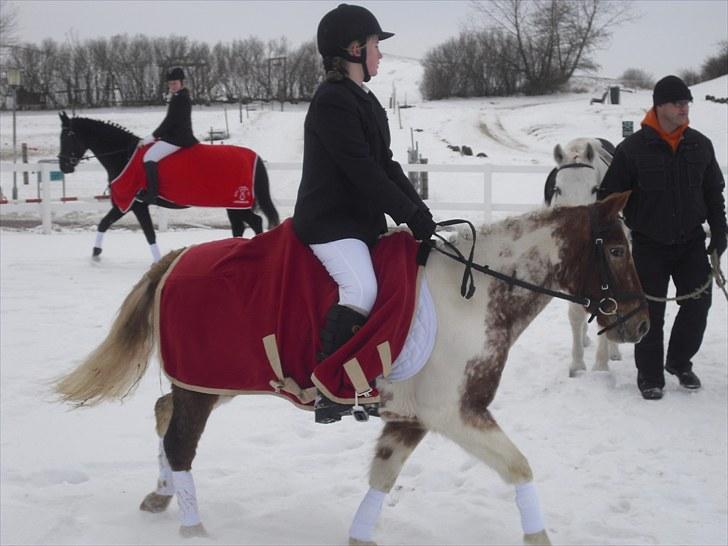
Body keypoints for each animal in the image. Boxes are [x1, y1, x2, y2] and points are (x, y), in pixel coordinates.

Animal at [58, 110, 280, 260]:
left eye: (67, 137)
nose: (63, 166)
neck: (124, 155)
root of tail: (253, 156)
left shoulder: (135, 204)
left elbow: (149, 234)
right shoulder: (124, 204)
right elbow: (104, 223)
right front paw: (96, 253)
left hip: (237, 204)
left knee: (255, 222)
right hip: (231, 205)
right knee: (241, 225)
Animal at [58, 194, 648, 544]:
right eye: (618, 249)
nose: (640, 327)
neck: (475, 295)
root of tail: (177, 258)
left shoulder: (411, 419)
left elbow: (382, 478)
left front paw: (360, 535)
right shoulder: (458, 414)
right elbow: (519, 468)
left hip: (216, 379)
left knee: (163, 414)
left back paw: (159, 494)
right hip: (204, 383)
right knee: (180, 441)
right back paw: (193, 526)